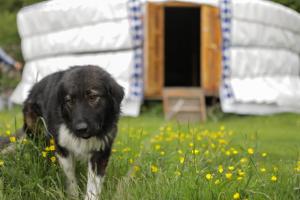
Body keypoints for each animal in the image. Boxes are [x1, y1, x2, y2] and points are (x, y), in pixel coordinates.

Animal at [22, 65, 124, 198]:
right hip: (35, 128)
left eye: (92, 97)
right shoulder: (62, 147)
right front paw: (73, 195)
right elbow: (70, 177)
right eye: (69, 101)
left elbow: (93, 184)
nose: (81, 129)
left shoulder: (101, 151)